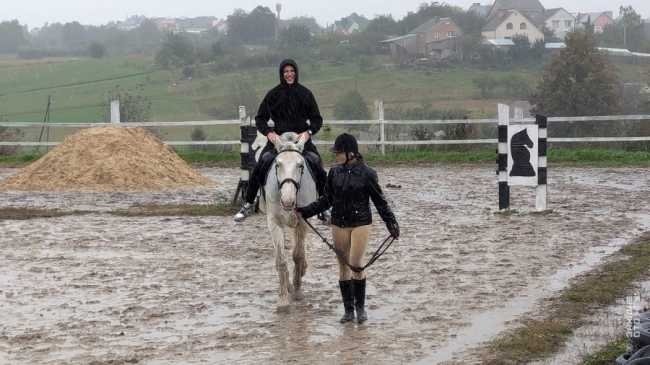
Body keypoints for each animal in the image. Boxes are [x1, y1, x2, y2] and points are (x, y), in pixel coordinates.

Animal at [258, 132, 318, 312]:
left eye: (300, 165)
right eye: (278, 164)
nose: (288, 201)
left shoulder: (302, 222)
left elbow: (297, 255)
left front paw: (297, 291)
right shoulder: (274, 224)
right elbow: (281, 261)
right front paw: (283, 301)